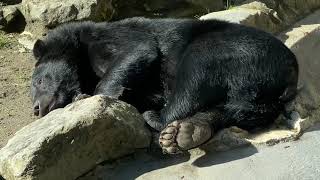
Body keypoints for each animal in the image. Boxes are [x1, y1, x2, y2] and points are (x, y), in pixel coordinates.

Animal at [30, 17, 298, 154]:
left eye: (39, 81)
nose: (36, 109)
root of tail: (290, 73)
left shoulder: (108, 37)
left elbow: (138, 49)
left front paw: (87, 97)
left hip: (230, 48)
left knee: (194, 72)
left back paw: (159, 120)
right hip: (259, 96)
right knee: (239, 111)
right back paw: (186, 133)